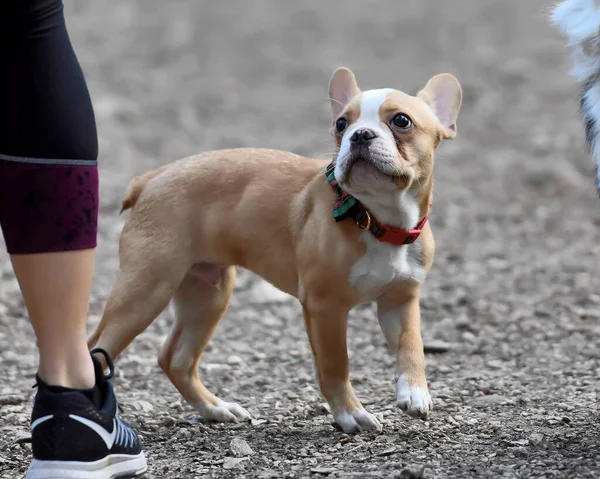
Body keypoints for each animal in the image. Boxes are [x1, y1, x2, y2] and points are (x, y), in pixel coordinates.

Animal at [89, 68, 462, 436]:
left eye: (401, 121)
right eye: (341, 124)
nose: (360, 135)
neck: (376, 218)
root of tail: (153, 177)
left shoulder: (400, 300)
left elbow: (411, 346)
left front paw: (414, 393)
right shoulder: (325, 306)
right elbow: (336, 364)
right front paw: (350, 415)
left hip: (208, 294)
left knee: (175, 359)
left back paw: (216, 409)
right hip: (146, 290)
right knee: (98, 347)